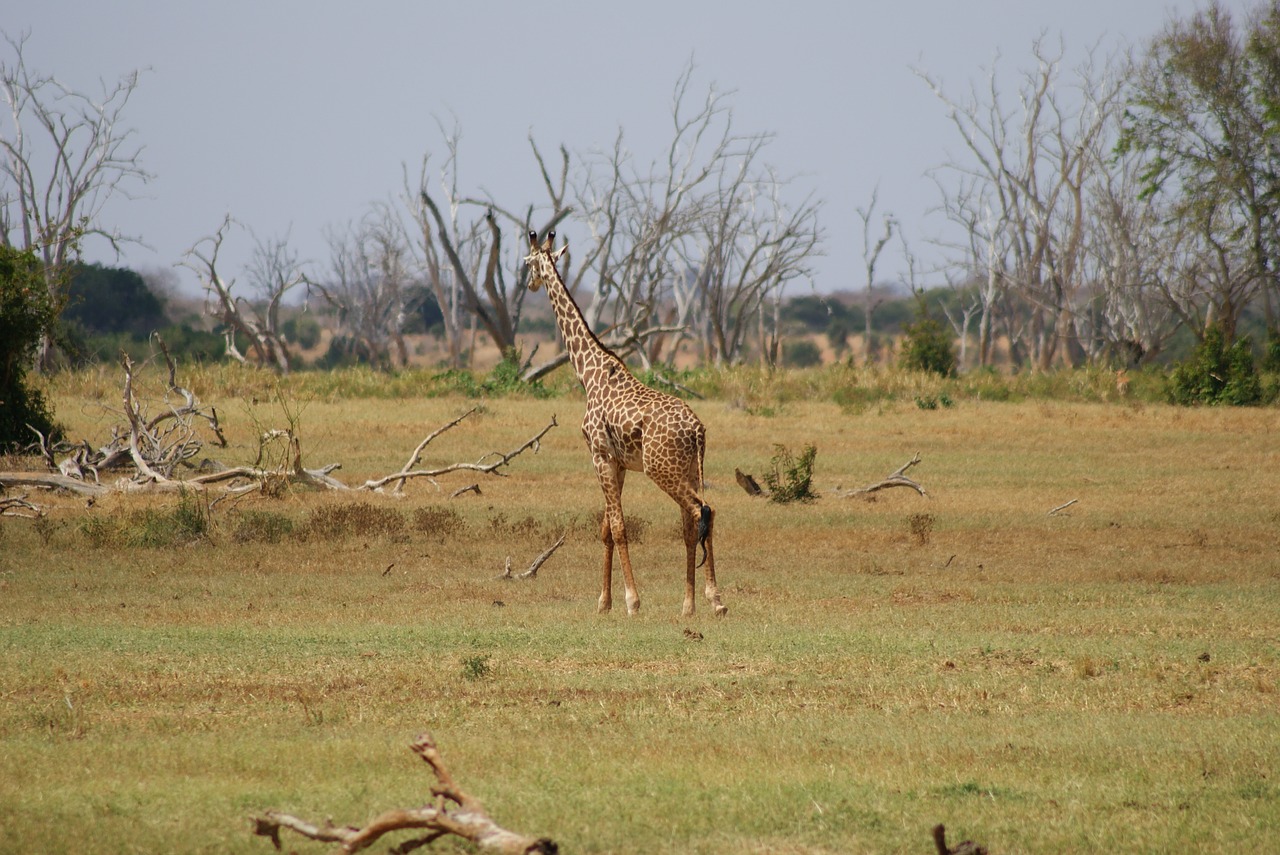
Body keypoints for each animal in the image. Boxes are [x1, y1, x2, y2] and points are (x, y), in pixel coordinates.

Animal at [517, 234, 721, 616]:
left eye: (526, 263)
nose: (529, 284)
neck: (589, 372)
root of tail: (697, 430)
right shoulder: (619, 462)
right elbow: (605, 529)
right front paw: (603, 602)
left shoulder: (599, 455)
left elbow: (619, 526)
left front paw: (631, 601)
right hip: (687, 468)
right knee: (692, 523)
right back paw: (688, 606)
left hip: (662, 469)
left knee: (702, 510)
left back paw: (716, 600)